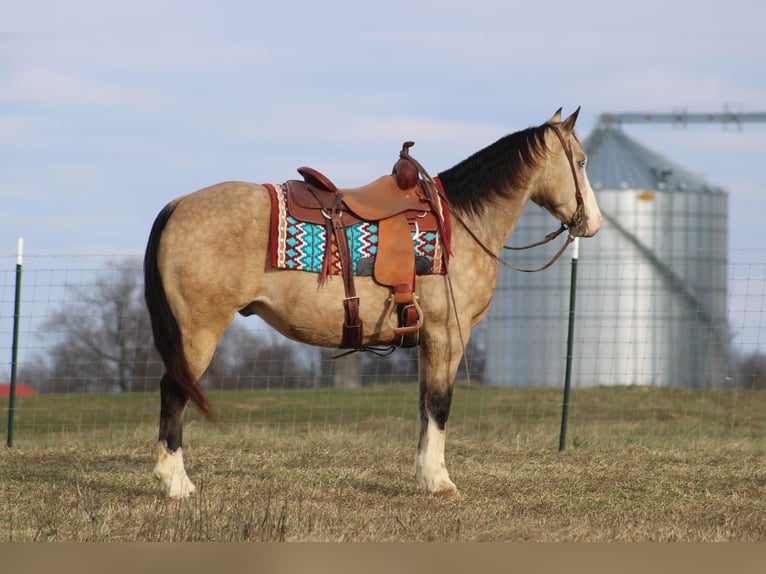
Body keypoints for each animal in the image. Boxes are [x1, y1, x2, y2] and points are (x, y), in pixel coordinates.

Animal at [142, 107, 600, 500]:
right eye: (580, 162)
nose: (592, 223)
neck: (460, 222)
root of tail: (178, 205)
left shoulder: (427, 338)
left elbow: (424, 405)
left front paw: (424, 475)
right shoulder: (447, 335)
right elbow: (439, 404)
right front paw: (440, 481)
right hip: (199, 332)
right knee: (174, 392)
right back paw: (177, 483)